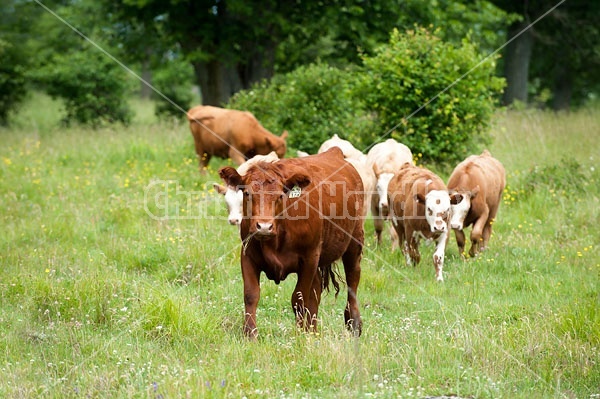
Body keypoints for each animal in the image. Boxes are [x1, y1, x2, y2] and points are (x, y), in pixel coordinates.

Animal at [218, 148, 364, 340]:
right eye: (247, 193)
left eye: (280, 195)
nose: (264, 226)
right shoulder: (247, 255)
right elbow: (251, 294)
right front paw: (250, 333)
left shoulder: (309, 257)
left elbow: (299, 298)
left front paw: (300, 334)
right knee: (316, 292)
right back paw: (312, 331)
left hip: (354, 244)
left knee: (352, 281)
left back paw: (353, 324)